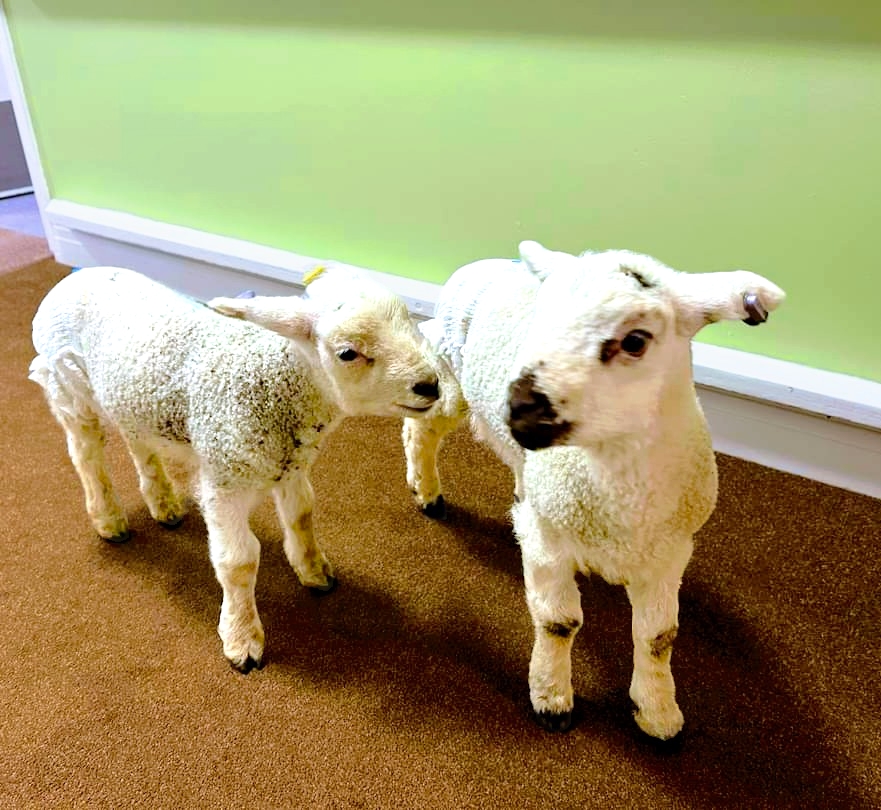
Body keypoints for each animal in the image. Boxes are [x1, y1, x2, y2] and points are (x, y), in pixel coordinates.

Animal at [30, 265, 442, 672]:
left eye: (408, 319)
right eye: (348, 353)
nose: (431, 384)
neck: (280, 386)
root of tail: (75, 276)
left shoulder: (292, 465)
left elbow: (302, 516)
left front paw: (314, 571)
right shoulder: (224, 480)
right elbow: (238, 562)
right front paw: (242, 638)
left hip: (133, 399)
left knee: (138, 443)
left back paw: (163, 504)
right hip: (66, 385)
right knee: (86, 453)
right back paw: (108, 519)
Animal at [403, 240, 785, 739]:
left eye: (636, 340)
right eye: (541, 319)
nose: (520, 408)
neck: (621, 497)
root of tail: (489, 262)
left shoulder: (670, 552)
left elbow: (658, 637)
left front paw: (658, 712)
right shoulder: (550, 542)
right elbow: (559, 621)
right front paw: (551, 698)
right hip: (451, 376)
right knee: (421, 427)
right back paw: (426, 491)